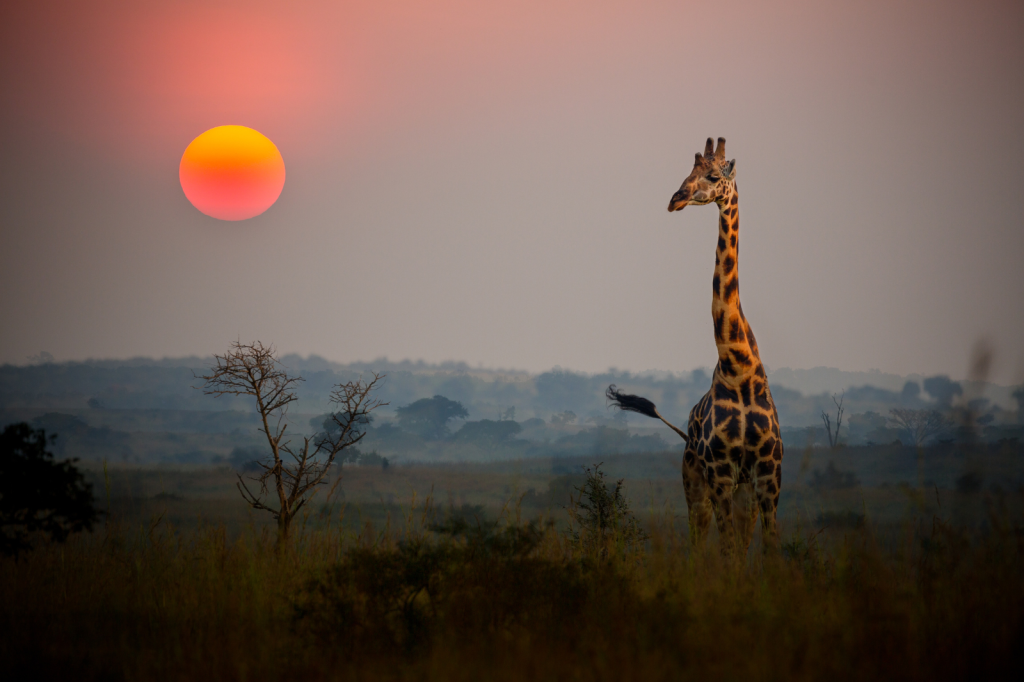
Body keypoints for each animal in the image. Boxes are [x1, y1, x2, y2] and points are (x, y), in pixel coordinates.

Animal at [606, 135, 782, 557]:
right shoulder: (719, 475)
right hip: (695, 483)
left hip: (742, 491)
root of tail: (685, 430)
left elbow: (769, 553)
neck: (739, 367)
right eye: (687, 171)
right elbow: (729, 553)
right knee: (699, 547)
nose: (675, 199)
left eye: (714, 176)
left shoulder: (768, 477)